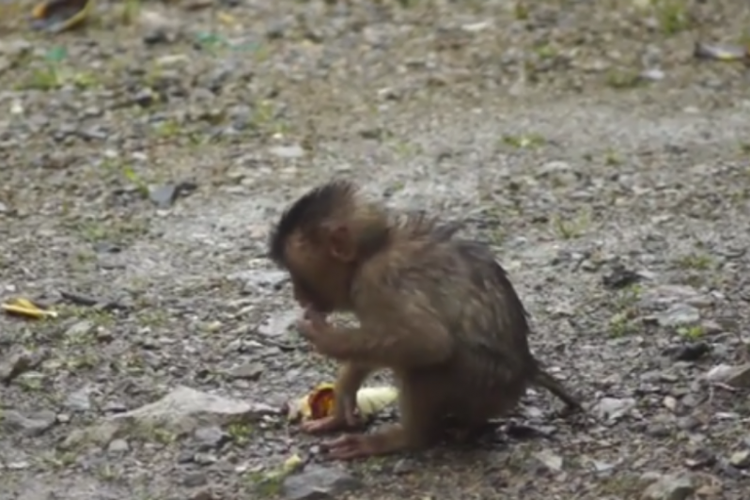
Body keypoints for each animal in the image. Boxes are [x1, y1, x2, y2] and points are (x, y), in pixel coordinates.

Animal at [268, 181, 580, 460]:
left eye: (298, 276)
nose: (297, 296)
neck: (373, 252)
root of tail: (526, 370)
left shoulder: (378, 280)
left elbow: (429, 342)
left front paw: (324, 338)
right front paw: (345, 392)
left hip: (479, 381)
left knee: (424, 365)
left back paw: (407, 438)